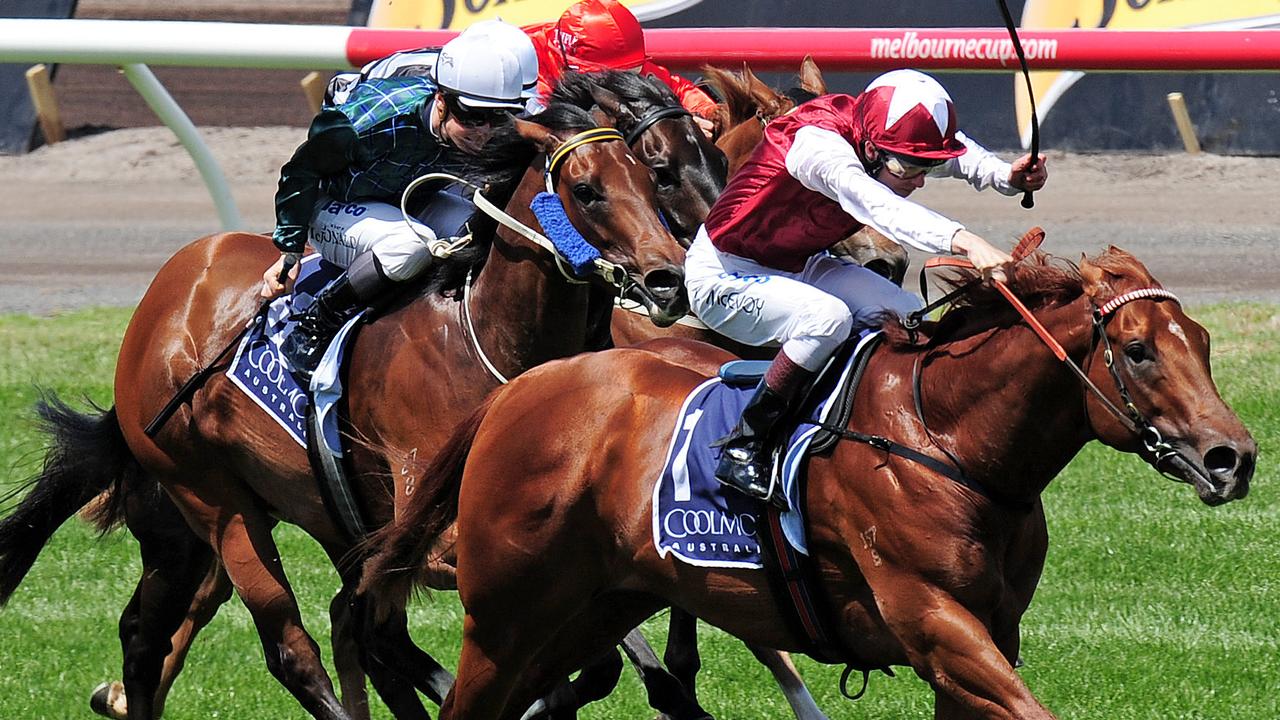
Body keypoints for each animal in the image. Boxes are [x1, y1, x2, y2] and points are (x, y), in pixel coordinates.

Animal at [0, 99, 691, 717]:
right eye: (586, 189)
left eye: (650, 177)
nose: (669, 280)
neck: (490, 340)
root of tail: (167, 292)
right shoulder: (438, 532)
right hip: (213, 501)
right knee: (290, 647)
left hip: (294, 516)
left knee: (156, 634)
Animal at [360, 245, 1249, 717]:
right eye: (1139, 350)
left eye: (1203, 341)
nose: (1233, 458)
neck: (947, 439)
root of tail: (518, 390)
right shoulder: (934, 623)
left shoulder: (992, 632)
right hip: (503, 618)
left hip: (590, 610)